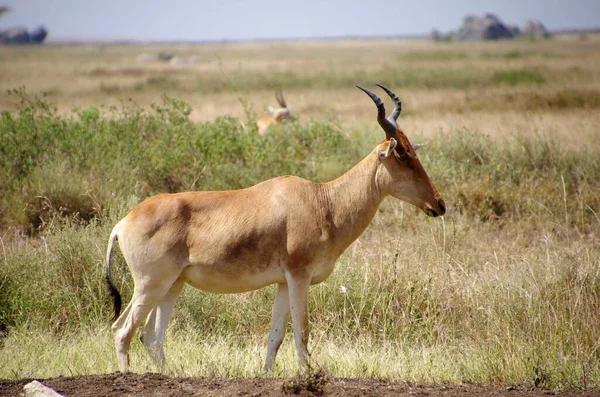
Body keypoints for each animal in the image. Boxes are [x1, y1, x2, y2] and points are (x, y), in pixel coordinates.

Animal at [105, 83, 446, 372]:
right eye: (402, 155)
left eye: (413, 151)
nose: (439, 204)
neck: (322, 199)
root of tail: (124, 221)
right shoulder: (299, 276)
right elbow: (302, 331)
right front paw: (307, 376)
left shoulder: (283, 282)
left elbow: (276, 335)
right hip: (150, 284)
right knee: (122, 330)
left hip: (172, 285)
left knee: (151, 336)